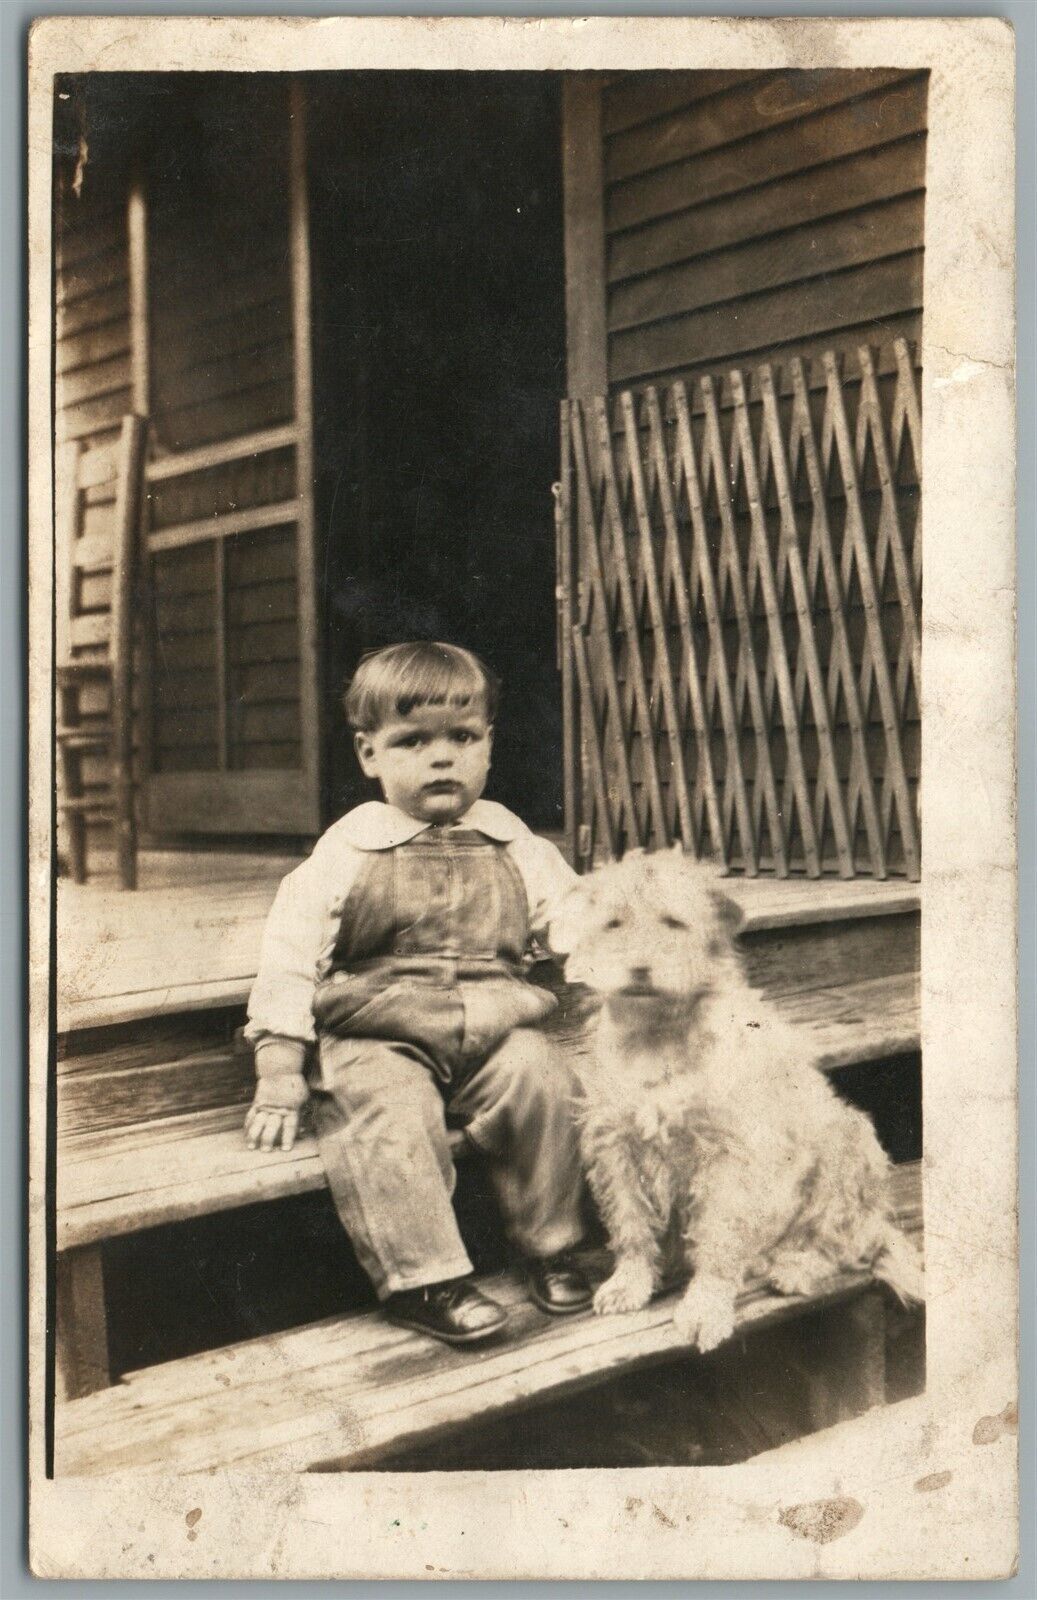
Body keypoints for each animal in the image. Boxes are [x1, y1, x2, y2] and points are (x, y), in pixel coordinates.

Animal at [550, 851, 921, 1350]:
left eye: (674, 922)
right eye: (613, 923)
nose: (639, 969)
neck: (658, 1034)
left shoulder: (728, 1157)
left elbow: (718, 1237)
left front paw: (705, 1307)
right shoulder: (614, 1144)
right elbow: (630, 1222)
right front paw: (630, 1282)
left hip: (849, 1142)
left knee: (842, 1240)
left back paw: (797, 1265)